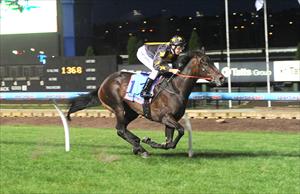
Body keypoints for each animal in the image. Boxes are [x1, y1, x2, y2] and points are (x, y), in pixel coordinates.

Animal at [67, 51, 223, 158]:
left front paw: (153, 142)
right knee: (120, 128)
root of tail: (104, 82)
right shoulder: (165, 117)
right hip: (118, 106)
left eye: (212, 61)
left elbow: (170, 142)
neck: (176, 88)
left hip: (132, 111)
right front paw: (148, 141)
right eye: (204, 63)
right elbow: (181, 130)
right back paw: (140, 148)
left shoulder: (171, 120)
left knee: (122, 128)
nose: (221, 77)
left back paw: (137, 145)